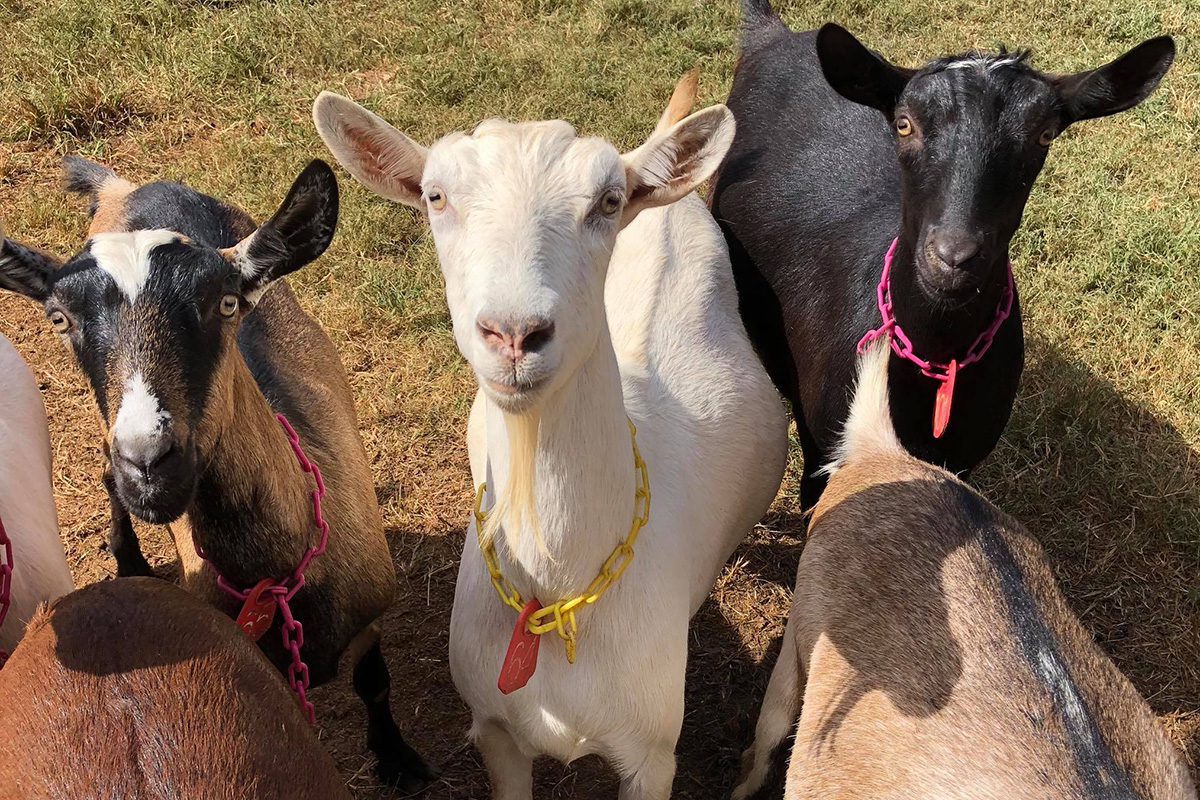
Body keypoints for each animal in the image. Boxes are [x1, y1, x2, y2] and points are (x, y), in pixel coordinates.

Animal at [313, 73, 788, 799]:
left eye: (608, 200)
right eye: (435, 195)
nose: (514, 333)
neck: (558, 596)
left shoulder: (653, 754)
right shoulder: (495, 731)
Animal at [709, 0, 1176, 509]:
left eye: (1045, 135)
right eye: (904, 123)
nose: (953, 258)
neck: (935, 359)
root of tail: (772, 32)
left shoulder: (963, 460)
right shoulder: (823, 453)